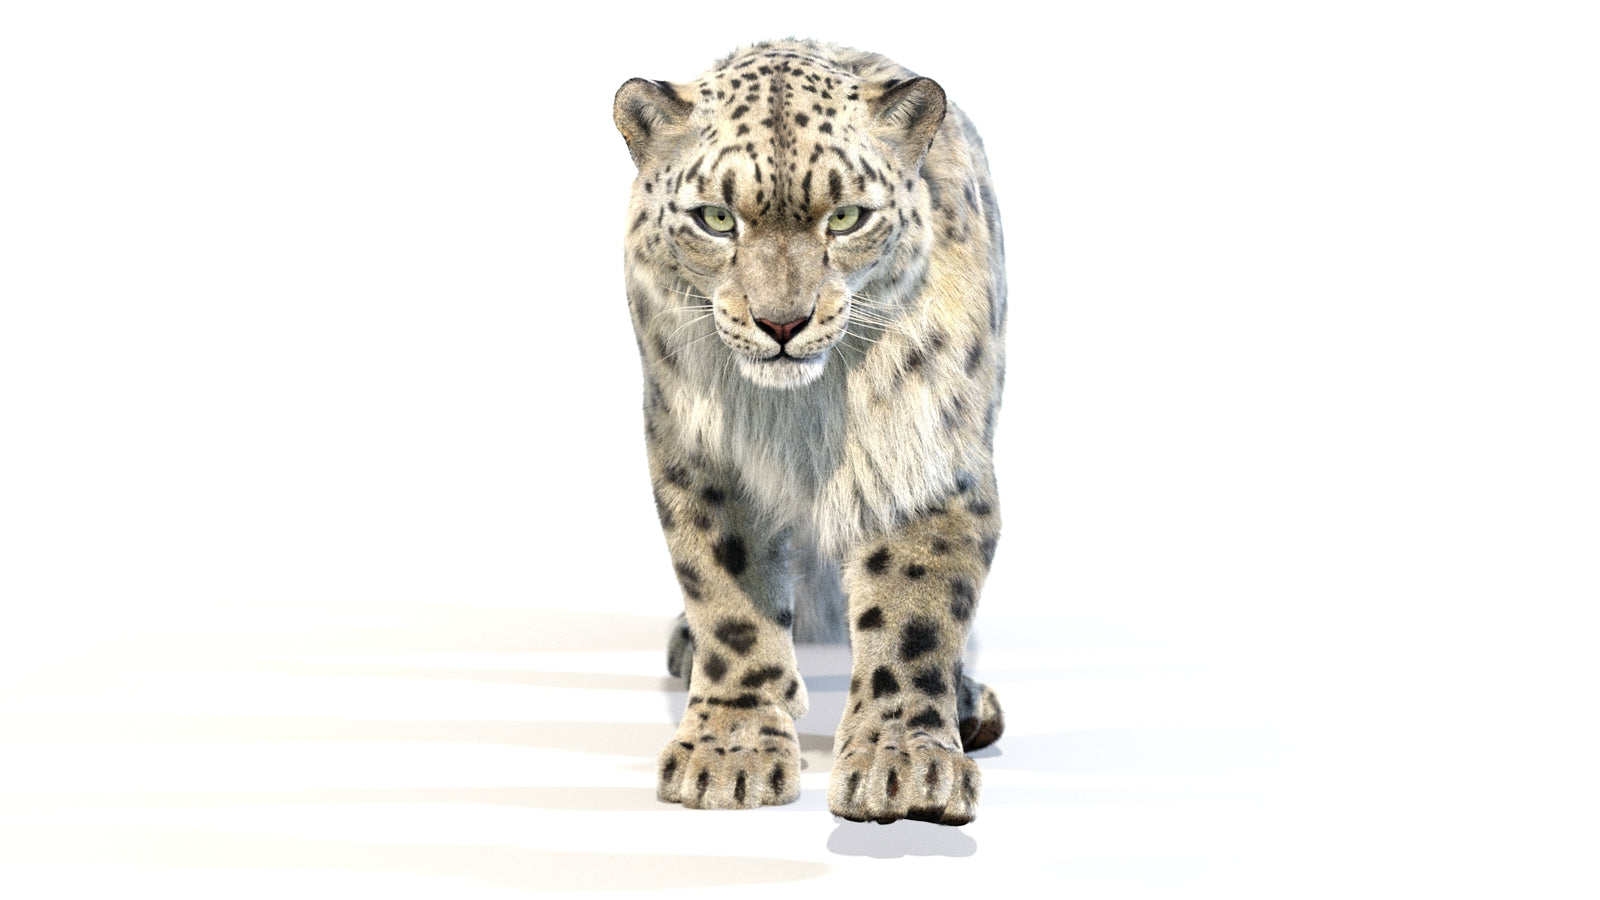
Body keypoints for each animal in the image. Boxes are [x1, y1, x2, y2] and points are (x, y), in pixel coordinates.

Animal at [613, 39, 1007, 826]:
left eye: (847, 216)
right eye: (716, 218)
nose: (782, 322)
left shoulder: (926, 452)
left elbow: (915, 611)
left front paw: (904, 768)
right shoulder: (702, 457)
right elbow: (728, 596)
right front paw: (728, 751)